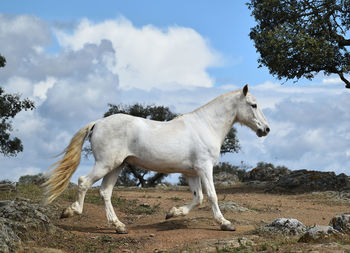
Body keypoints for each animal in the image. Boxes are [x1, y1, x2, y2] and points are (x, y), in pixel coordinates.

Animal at [43, 84, 268, 233]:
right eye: (253, 105)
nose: (265, 129)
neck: (206, 125)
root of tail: (97, 123)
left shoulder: (192, 173)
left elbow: (198, 198)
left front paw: (172, 213)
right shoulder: (205, 168)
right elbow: (212, 196)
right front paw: (225, 223)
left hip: (116, 167)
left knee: (105, 192)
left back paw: (119, 226)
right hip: (106, 164)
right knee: (84, 182)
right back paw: (71, 211)